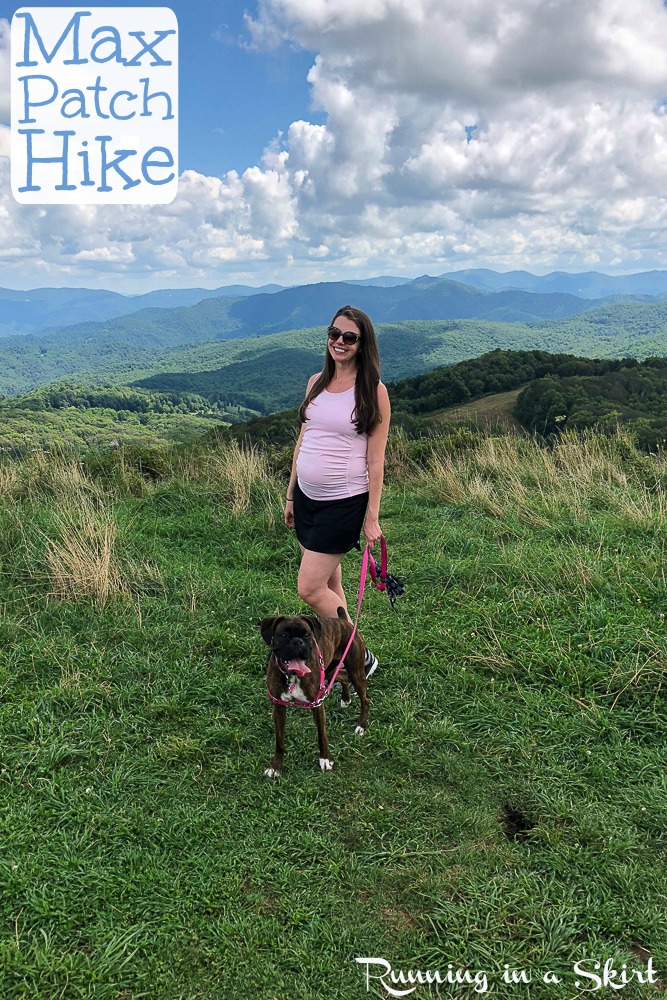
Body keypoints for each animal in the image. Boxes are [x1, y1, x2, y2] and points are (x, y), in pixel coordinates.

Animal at [258, 604, 370, 776]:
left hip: (356, 671)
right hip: (330, 670)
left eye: (306, 635)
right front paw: (275, 766)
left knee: (365, 699)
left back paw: (361, 726)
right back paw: (345, 699)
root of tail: (344, 621)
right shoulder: (278, 707)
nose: (297, 642)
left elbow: (321, 736)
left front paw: (326, 759)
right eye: (283, 634)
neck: (292, 676)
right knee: (343, 676)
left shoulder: (317, 705)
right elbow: (279, 741)